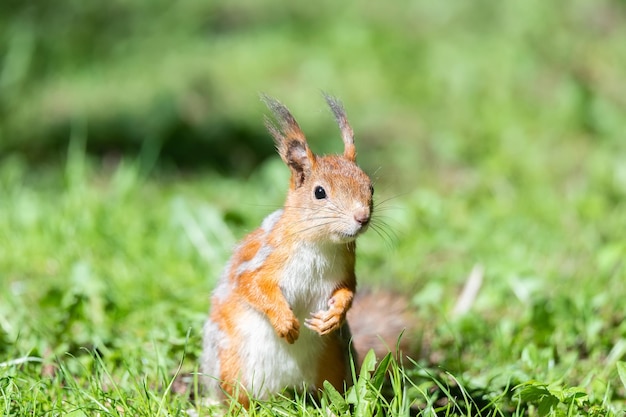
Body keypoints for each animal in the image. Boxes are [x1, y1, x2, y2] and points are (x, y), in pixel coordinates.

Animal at [200, 94, 414, 406]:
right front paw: (285, 321)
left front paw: (334, 315)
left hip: (334, 362)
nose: (362, 217)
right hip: (230, 364)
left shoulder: (346, 268)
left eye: (371, 187)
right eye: (319, 192)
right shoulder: (261, 259)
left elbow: (348, 291)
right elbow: (252, 286)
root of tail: (282, 392)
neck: (319, 243)